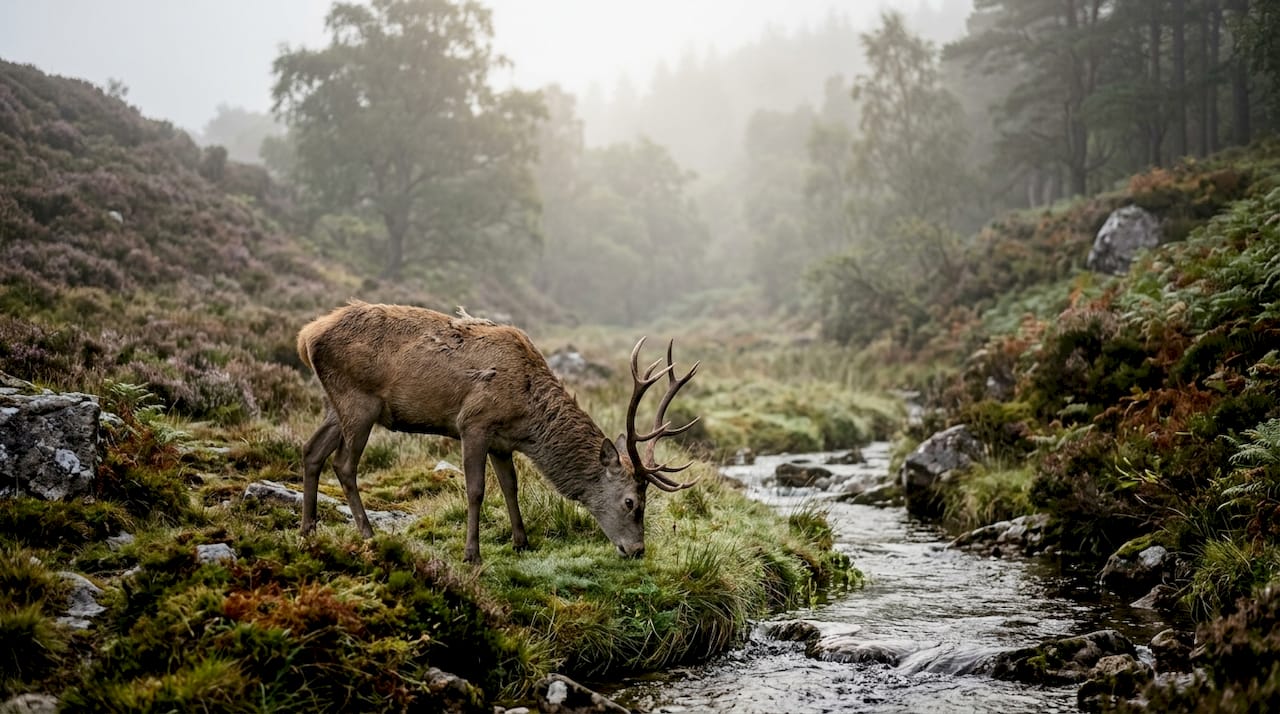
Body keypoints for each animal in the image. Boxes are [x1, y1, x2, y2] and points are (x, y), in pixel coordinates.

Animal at [295, 301, 699, 564]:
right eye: (631, 502)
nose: (637, 550)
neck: (527, 417)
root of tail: (305, 336)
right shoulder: (473, 423)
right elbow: (476, 490)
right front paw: (472, 553)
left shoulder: (503, 443)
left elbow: (510, 486)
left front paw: (522, 541)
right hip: (358, 402)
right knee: (344, 464)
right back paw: (367, 533)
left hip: (336, 404)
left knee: (311, 451)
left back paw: (307, 529)